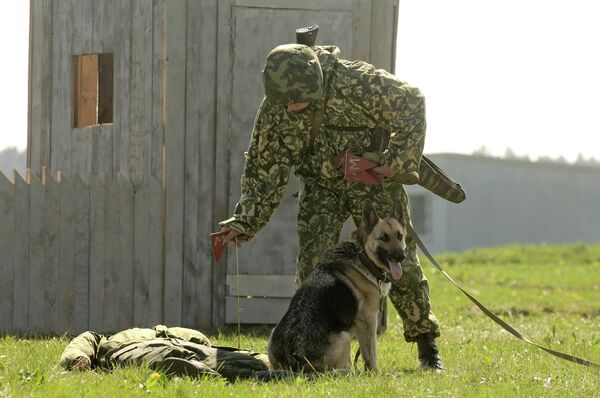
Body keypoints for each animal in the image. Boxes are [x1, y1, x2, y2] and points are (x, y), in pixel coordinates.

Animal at [268, 199, 408, 374]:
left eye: (400, 236)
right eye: (384, 238)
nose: (401, 257)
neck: (363, 257)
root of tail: (295, 359)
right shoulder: (369, 321)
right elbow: (371, 354)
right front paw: (375, 373)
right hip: (344, 337)